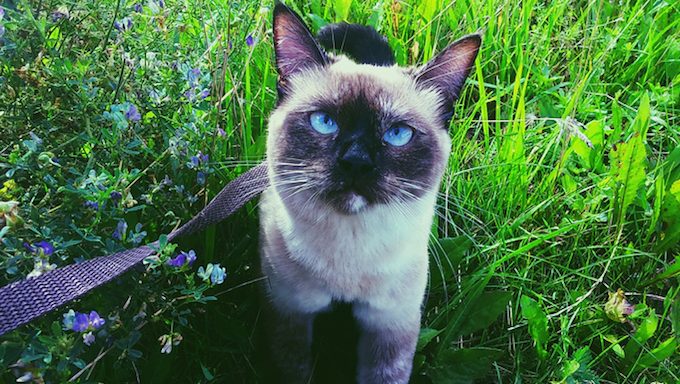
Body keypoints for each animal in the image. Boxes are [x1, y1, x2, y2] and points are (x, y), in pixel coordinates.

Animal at [258, 2, 480, 380]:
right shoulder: (291, 318)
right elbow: (297, 370)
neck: (350, 250)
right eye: (324, 122)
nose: (356, 162)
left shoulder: (390, 331)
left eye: (397, 134)